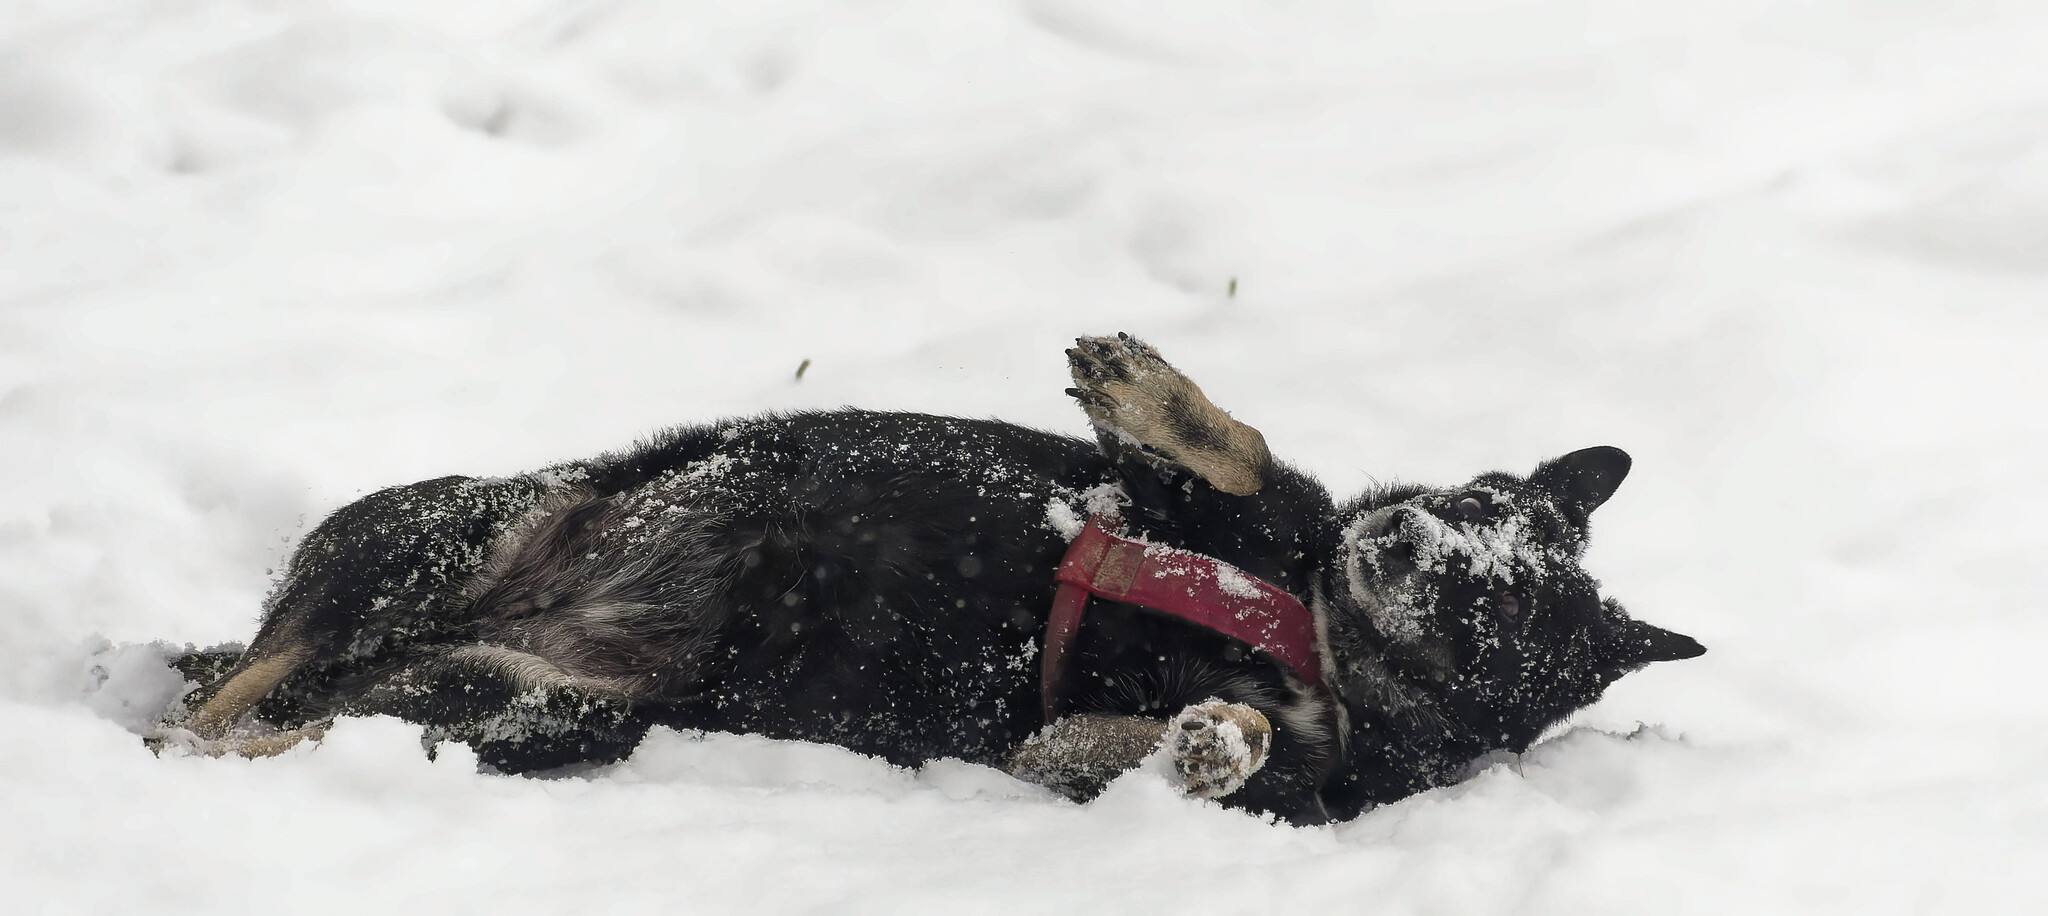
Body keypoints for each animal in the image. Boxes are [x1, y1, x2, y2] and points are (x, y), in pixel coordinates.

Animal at [155, 336, 1695, 823]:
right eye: (1483, 507)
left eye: (1503, 611)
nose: (1413, 544)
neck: (1303, 637)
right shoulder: (1201, 510)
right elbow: (1242, 454)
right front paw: (1150, 386)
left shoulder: (1080, 761)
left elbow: (1184, 754)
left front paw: (1212, 739)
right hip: (457, 533)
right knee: (249, 679)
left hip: (540, 707)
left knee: (277, 717)